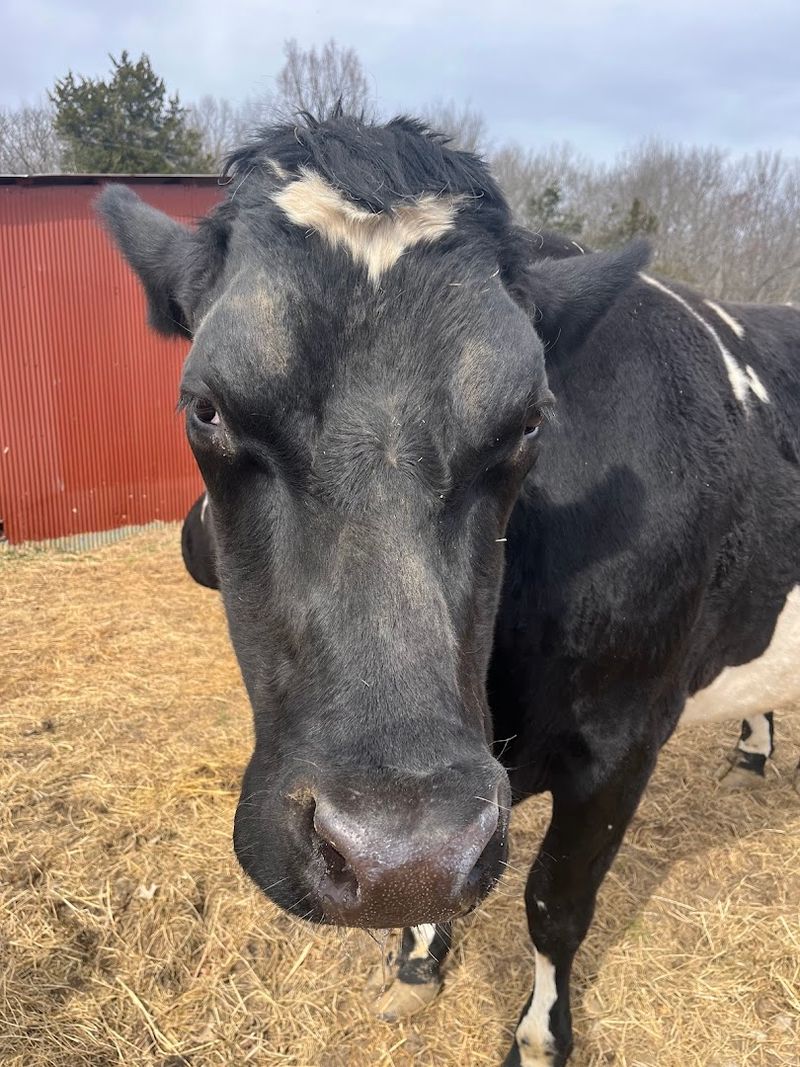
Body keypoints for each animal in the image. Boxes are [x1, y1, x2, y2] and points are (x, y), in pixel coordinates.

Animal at [98, 112, 800, 1067]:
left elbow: (554, 904)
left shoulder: (625, 739)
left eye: (530, 419)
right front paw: (419, 955)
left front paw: (540, 1035)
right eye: (206, 407)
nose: (397, 851)